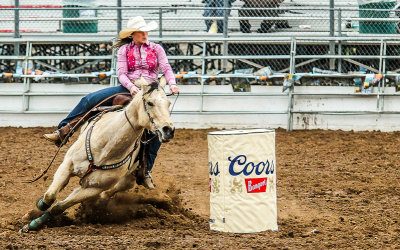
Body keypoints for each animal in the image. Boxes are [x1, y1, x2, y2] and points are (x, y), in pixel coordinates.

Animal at [19, 76, 173, 232]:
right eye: (150, 102)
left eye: (168, 103)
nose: (168, 130)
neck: (107, 146)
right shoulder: (67, 165)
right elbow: (49, 197)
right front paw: (32, 213)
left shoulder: (94, 188)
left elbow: (59, 207)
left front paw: (34, 224)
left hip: (129, 177)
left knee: (113, 190)